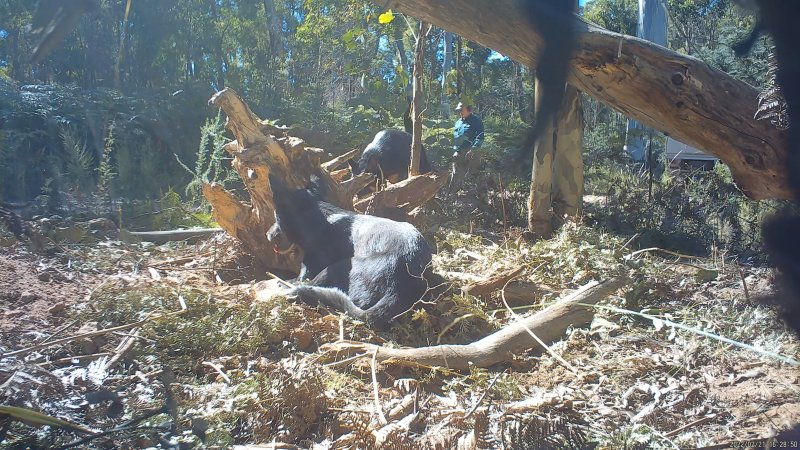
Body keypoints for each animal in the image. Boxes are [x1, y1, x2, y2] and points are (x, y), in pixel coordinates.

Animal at [266, 174, 440, 328]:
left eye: (275, 218)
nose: (267, 234)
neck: (318, 218)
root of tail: (399, 288)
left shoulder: (314, 262)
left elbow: (303, 277)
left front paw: (287, 282)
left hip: (338, 266)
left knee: (312, 286)